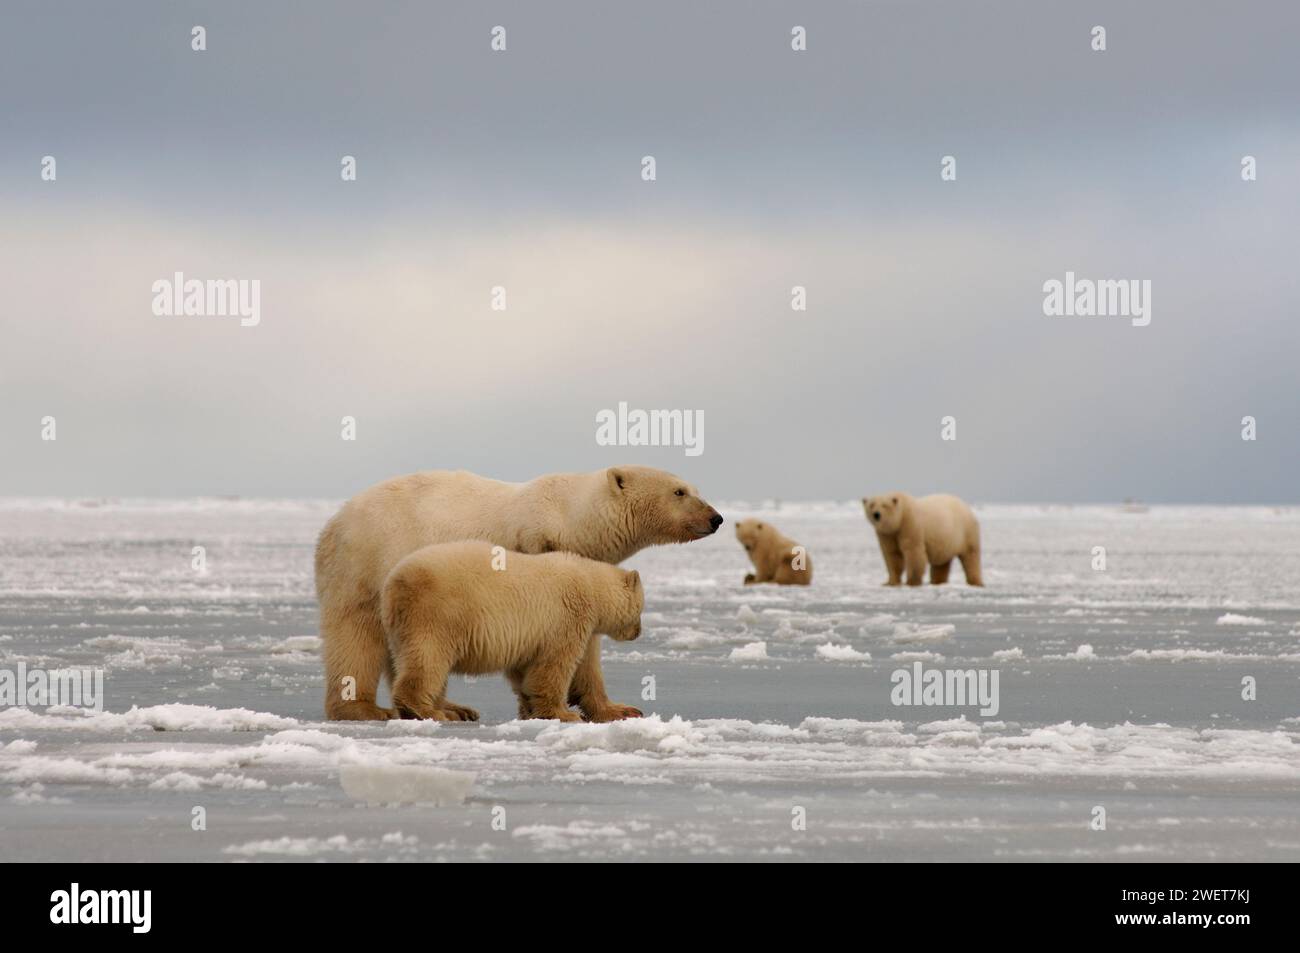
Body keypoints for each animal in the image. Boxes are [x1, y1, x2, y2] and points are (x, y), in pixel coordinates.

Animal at [379, 538, 647, 717]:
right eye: (641, 608)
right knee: (428, 658)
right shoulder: (566, 617)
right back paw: (426, 711)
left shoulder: (531, 635)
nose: (638, 632)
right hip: (437, 614)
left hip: (399, 625)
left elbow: (526, 671)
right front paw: (564, 714)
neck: (590, 583)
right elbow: (554, 665)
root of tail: (395, 581)